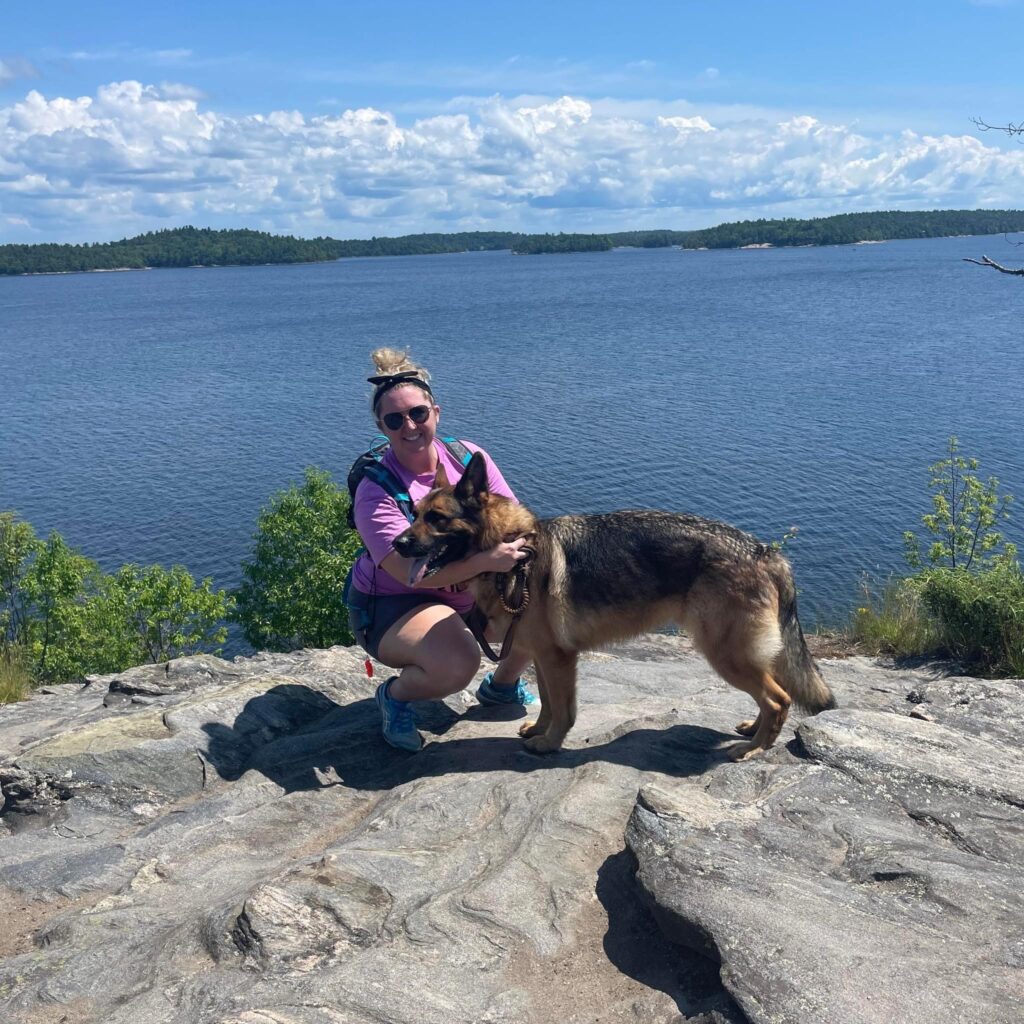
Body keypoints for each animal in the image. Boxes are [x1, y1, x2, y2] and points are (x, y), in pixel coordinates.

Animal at [391, 452, 831, 757]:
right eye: (414, 513)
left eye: (437, 518)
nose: (396, 544)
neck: (513, 552)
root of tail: (764, 551)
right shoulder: (541, 655)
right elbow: (548, 703)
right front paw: (539, 732)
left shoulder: (558, 659)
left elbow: (564, 709)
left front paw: (550, 744)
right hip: (738, 654)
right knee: (772, 694)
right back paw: (753, 731)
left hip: (726, 654)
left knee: (779, 698)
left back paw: (755, 748)